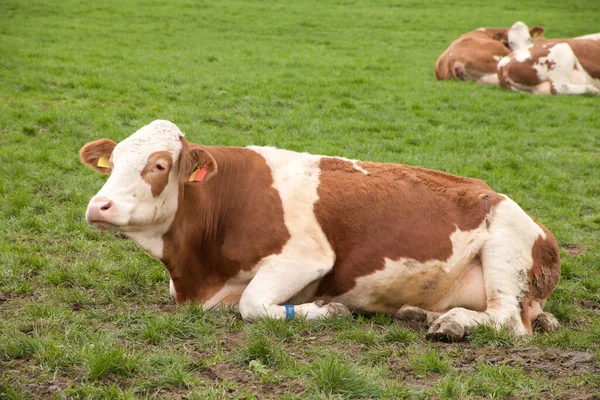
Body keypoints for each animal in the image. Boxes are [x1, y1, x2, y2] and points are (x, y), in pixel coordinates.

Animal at [79, 119, 564, 340]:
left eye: (159, 165)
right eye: (114, 161)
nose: (98, 206)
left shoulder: (308, 258)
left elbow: (253, 304)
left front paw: (329, 311)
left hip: (505, 251)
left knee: (508, 321)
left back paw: (452, 324)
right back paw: (422, 314)